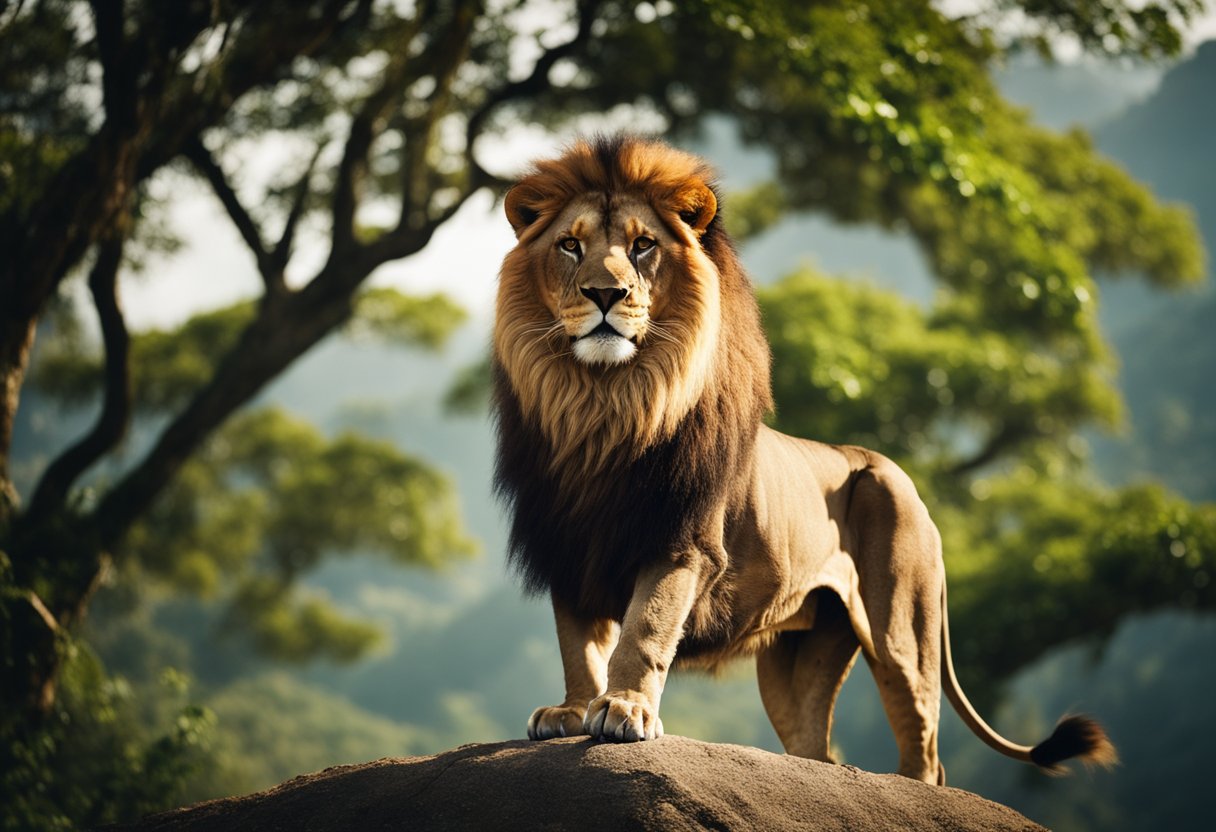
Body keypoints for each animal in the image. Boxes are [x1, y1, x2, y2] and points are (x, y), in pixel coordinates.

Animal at [491, 135, 1117, 784]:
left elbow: (645, 625)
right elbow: (577, 643)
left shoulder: (682, 543)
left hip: (901, 632)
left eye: (643, 246)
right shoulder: (565, 547)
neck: (604, 407)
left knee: (925, 750)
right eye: (570, 245)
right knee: (817, 752)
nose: (605, 294)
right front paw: (571, 711)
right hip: (798, 655)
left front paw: (624, 707)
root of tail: (897, 472)